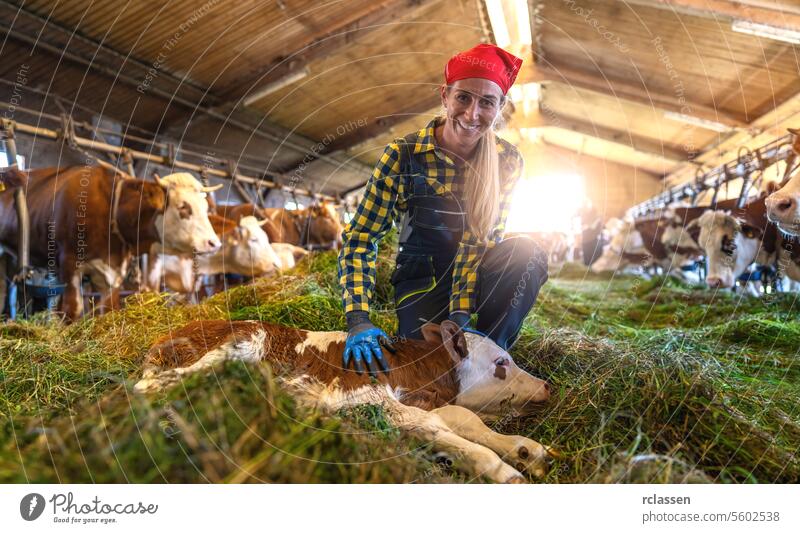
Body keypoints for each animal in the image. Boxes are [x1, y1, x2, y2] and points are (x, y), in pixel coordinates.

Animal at [133, 318, 556, 484]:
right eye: (501, 363)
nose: (547, 387)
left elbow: (460, 420)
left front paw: (527, 450)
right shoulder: (367, 396)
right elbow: (440, 425)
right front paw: (502, 468)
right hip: (238, 342)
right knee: (153, 390)